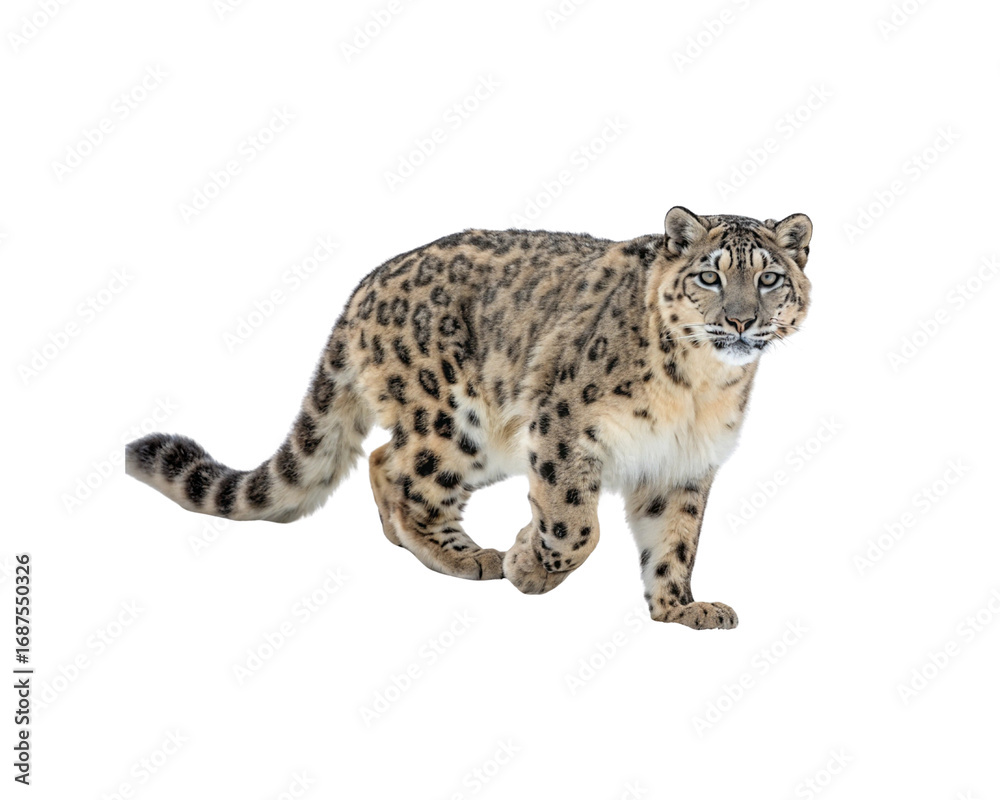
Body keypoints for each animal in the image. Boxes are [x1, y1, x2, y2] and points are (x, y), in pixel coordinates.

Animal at [126, 206, 812, 629]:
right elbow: (573, 525)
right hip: (456, 423)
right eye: (709, 276)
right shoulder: (563, 427)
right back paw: (465, 555)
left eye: (770, 279)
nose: (741, 320)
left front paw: (681, 609)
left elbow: (675, 540)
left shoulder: (685, 464)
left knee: (383, 461)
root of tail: (361, 289)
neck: (699, 389)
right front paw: (526, 565)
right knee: (400, 469)